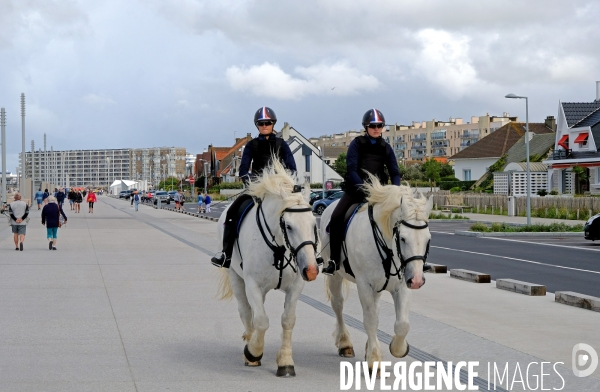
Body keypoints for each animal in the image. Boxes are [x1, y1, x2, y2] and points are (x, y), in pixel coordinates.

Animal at [214, 162, 318, 376]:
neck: (279, 247)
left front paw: (285, 362)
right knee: (246, 311)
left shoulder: (296, 286)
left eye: (313, 224)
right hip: (235, 276)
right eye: (289, 226)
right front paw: (253, 352)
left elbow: (288, 320)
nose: (311, 270)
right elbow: (261, 320)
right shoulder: (252, 284)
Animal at [322, 179, 434, 372]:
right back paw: (345, 344)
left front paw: (397, 348)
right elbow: (370, 321)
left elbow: (402, 324)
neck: (388, 246)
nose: (417, 280)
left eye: (428, 239)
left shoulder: (402, 286)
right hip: (335, 275)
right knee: (338, 305)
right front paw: (374, 360)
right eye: (403, 238)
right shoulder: (364, 286)